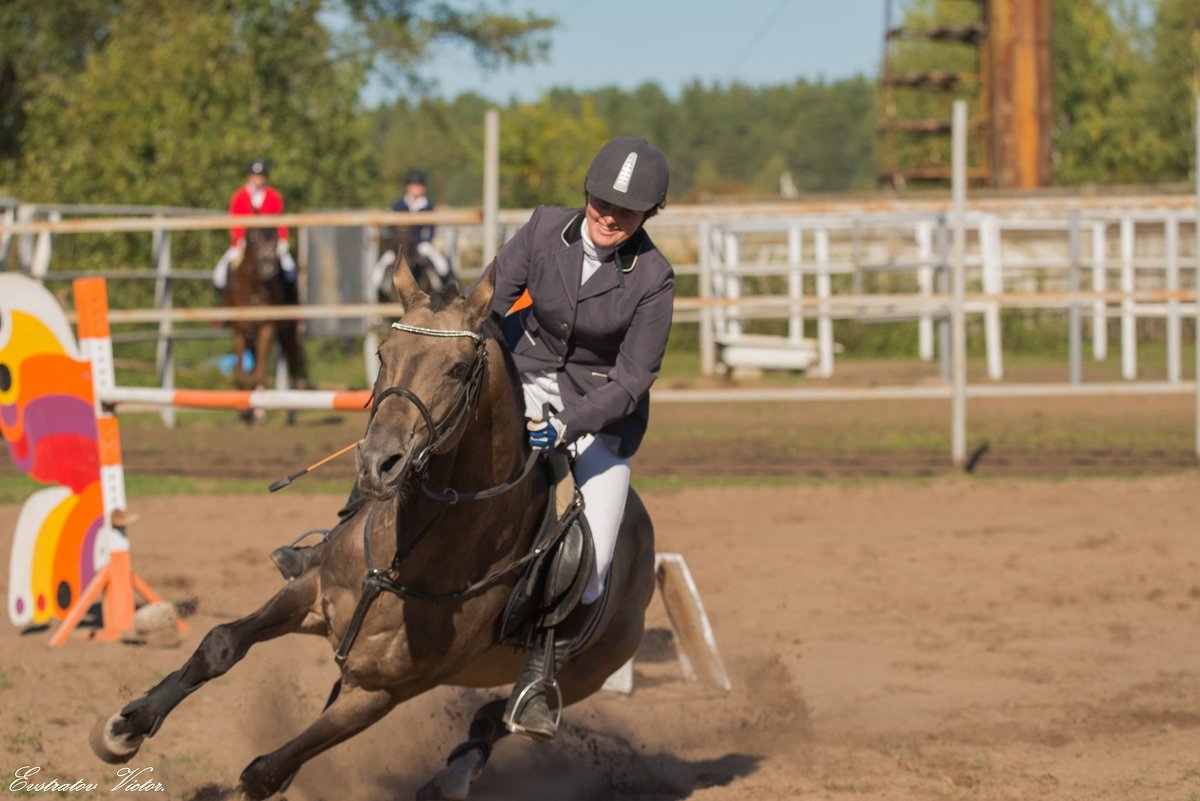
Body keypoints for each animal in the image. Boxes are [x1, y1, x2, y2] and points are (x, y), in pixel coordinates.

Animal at [90, 256, 657, 801]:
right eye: (384, 354)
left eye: (457, 369)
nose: (377, 464)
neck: (409, 557)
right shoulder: (310, 593)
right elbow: (221, 644)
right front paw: (125, 728)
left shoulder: (380, 693)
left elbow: (265, 771)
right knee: (487, 719)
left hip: (588, 673)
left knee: (505, 715)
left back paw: (461, 771)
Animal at [222, 227, 309, 410]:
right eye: (253, 237)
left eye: (275, 237)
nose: (268, 266)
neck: (252, 290)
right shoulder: (238, 331)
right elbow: (241, 376)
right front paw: (245, 411)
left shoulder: (266, 328)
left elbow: (259, 375)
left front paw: (258, 410)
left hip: (288, 331)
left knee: (293, 364)